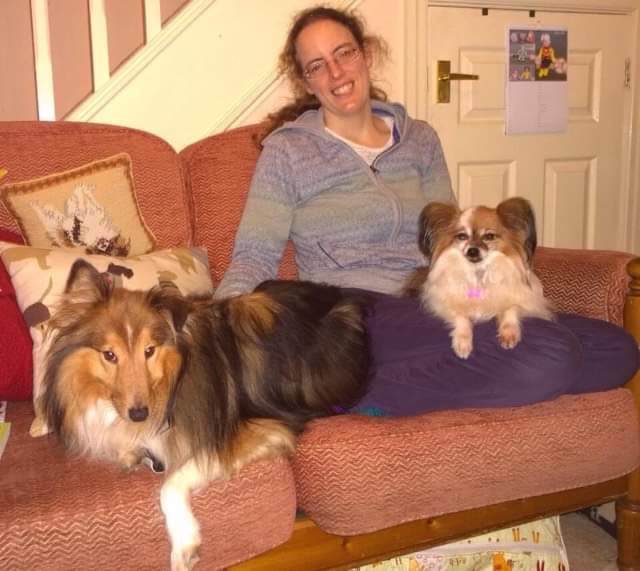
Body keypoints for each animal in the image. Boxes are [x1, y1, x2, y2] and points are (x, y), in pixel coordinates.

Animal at [41, 260, 370, 571]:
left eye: (150, 350)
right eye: (109, 355)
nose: (138, 414)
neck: (172, 383)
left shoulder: (251, 433)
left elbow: (171, 483)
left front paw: (185, 545)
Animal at [408, 197, 552, 358]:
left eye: (489, 236)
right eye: (462, 236)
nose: (472, 251)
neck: (478, 272)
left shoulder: (523, 299)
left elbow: (511, 309)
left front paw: (509, 333)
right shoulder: (443, 304)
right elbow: (461, 317)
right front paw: (463, 342)